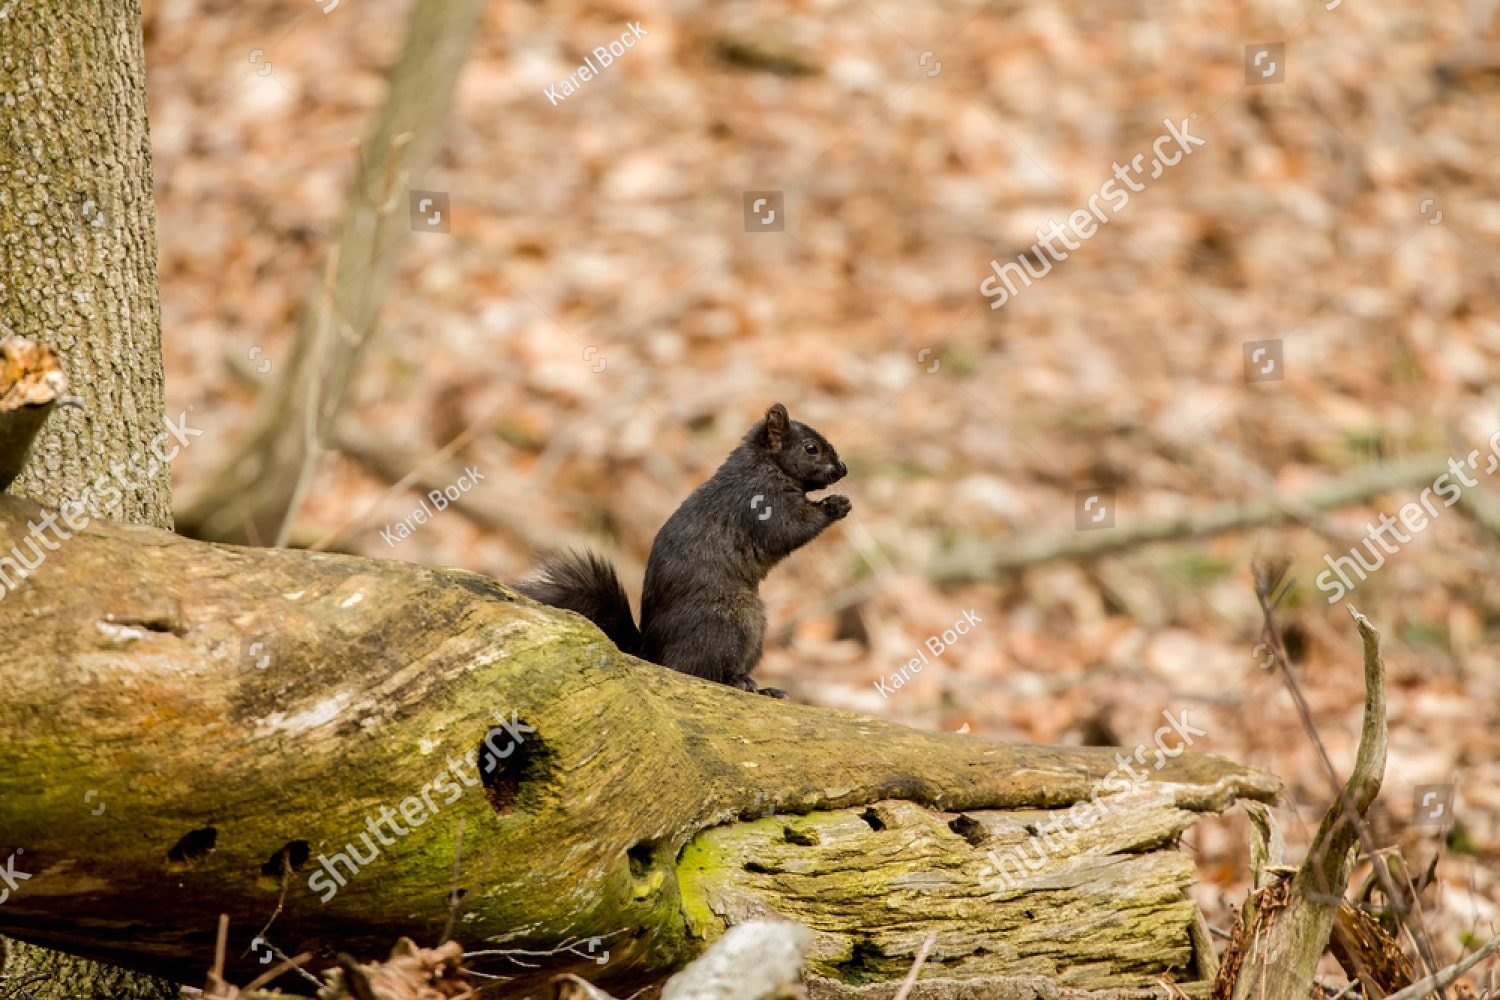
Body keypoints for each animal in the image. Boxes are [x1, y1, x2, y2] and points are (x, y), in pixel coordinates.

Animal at [516, 402, 850, 697]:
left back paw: (766, 689)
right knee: (700, 670)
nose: (843, 469)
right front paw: (835, 505)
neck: (766, 465)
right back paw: (739, 682)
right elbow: (790, 529)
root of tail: (653, 655)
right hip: (731, 621)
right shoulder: (761, 502)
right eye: (811, 448)